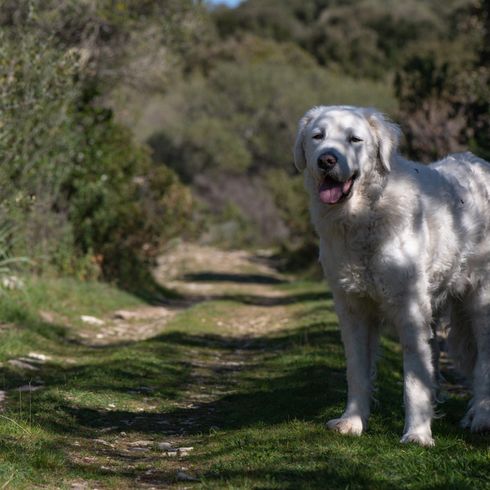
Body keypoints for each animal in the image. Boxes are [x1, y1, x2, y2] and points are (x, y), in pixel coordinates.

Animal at [292, 105, 490, 446]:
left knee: (484, 362)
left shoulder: (409, 309)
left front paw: (418, 434)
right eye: (318, 137)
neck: (362, 216)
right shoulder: (353, 309)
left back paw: (480, 417)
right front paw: (352, 422)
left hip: (481, 301)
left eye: (354, 139)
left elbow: (413, 380)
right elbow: (357, 371)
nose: (326, 160)